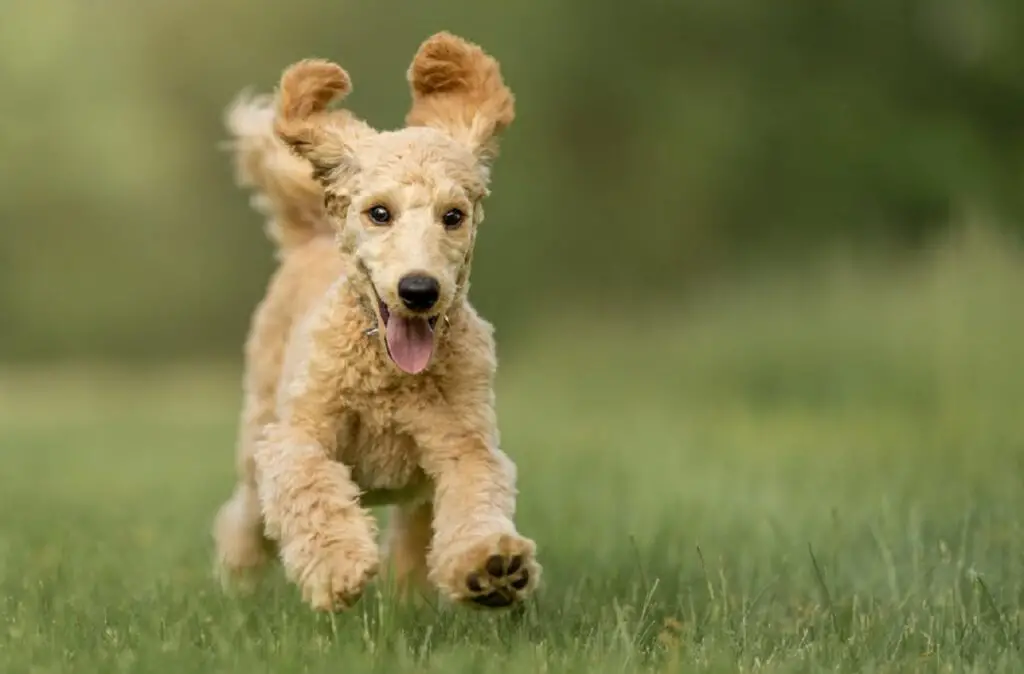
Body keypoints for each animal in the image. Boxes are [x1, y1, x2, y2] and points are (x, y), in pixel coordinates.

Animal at [210, 31, 540, 610]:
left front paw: (491, 564)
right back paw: (239, 581)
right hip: (257, 427)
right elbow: (310, 486)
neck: (389, 376)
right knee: (247, 515)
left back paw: (414, 590)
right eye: (379, 213)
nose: (418, 290)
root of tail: (311, 236)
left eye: (453, 216)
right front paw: (339, 565)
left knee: (416, 527)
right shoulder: (298, 435)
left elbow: (476, 495)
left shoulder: (464, 442)